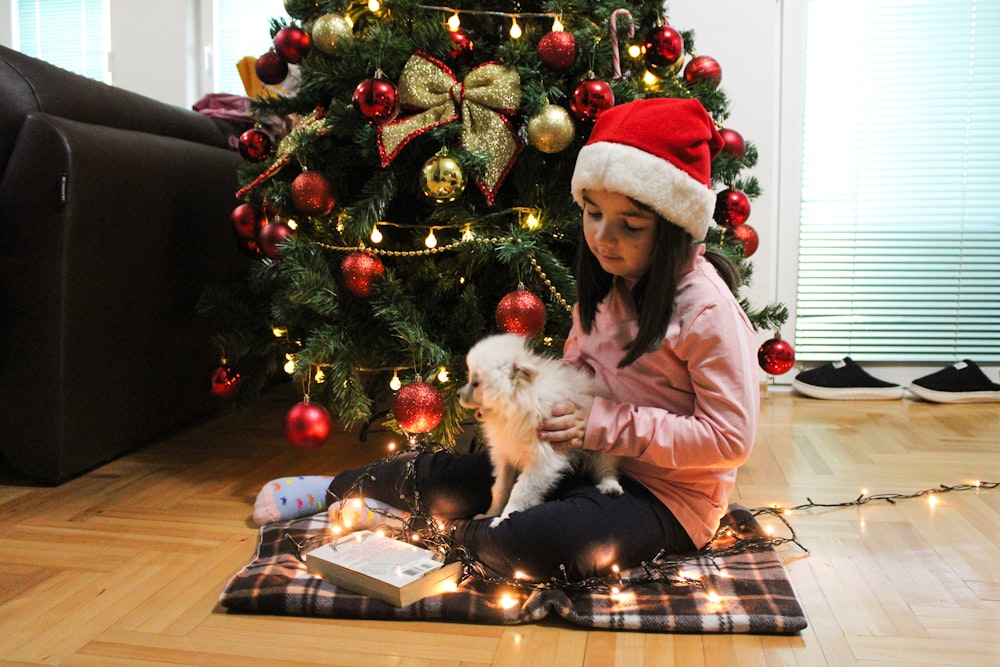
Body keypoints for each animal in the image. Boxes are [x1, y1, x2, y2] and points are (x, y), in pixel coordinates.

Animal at [458, 334, 616, 528]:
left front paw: (505, 517)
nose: (457, 394)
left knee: (606, 465)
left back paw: (611, 485)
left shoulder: (543, 461)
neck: (515, 407)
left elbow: (520, 491)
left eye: (475, 383)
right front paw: (490, 513)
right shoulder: (505, 455)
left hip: (601, 443)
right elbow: (501, 488)